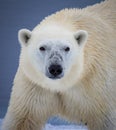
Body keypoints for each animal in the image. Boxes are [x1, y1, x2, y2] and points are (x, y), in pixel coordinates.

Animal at [1, 0, 116, 129]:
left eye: (67, 48)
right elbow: (23, 118)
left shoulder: (96, 84)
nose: (55, 68)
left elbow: (104, 119)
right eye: (42, 47)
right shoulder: (35, 84)